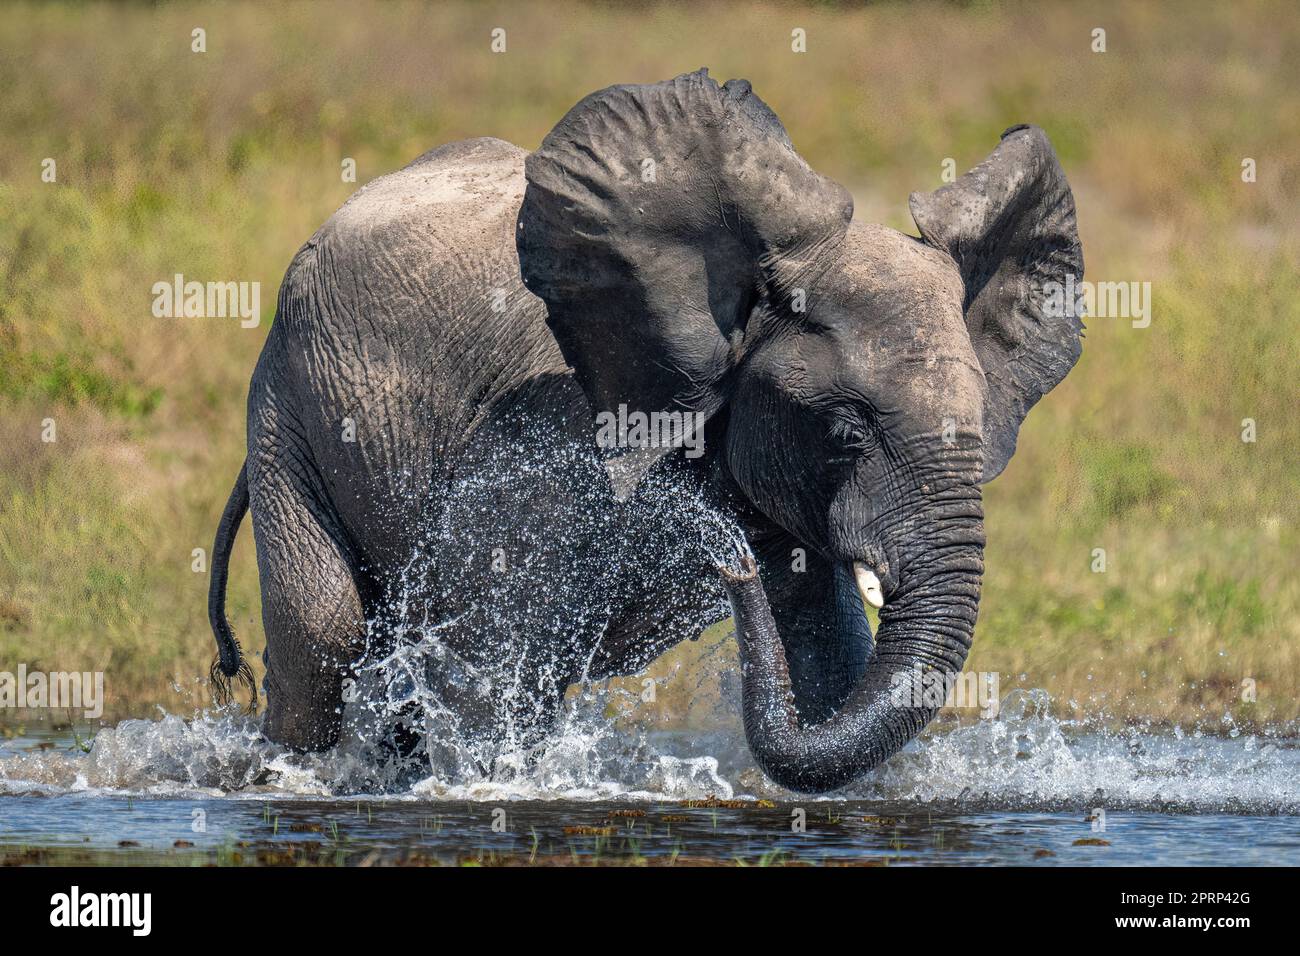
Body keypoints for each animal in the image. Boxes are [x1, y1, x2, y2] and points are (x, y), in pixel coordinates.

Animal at [210, 69, 1086, 790]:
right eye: (845, 432)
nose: (731, 560)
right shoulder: (545, 433)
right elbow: (488, 669)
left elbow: (829, 661)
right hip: (288, 398)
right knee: (326, 633)